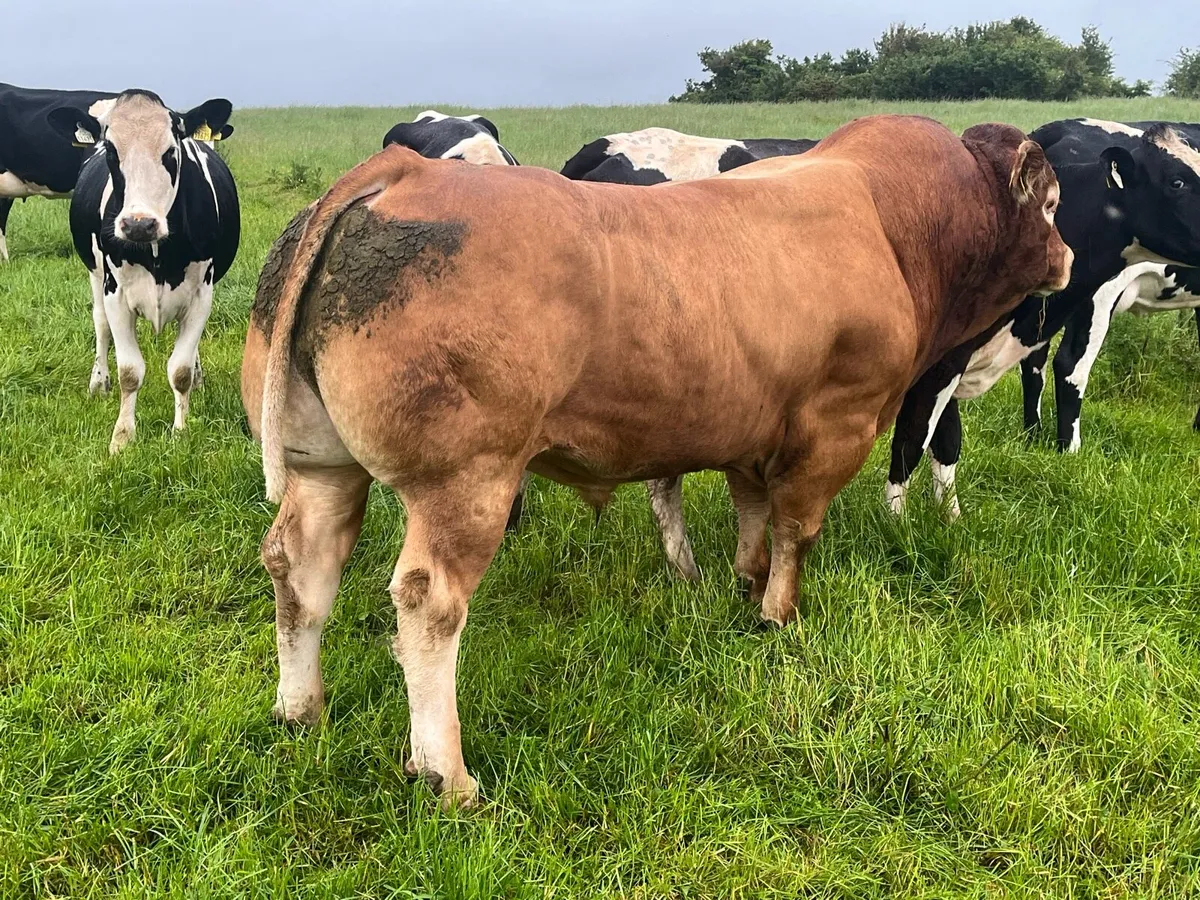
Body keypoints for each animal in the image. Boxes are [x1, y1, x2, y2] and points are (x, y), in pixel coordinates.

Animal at [48, 89, 240, 452]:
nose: (139, 224)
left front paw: (180, 431)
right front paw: (122, 438)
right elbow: (129, 372)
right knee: (100, 325)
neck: (157, 254)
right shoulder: (116, 293)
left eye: (171, 150)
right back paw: (99, 382)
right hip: (95, 275)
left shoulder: (202, 294)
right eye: (111, 150)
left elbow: (179, 369)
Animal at [887, 121, 1200, 519]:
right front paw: (896, 525)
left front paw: (950, 519)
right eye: (1177, 182)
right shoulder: (938, 364)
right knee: (1071, 368)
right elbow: (912, 440)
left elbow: (946, 442)